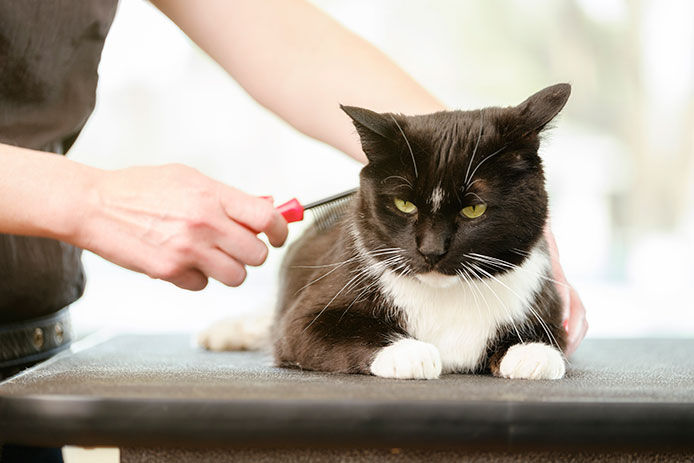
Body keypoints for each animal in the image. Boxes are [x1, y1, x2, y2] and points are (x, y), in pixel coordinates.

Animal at [200, 83, 572, 380]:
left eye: (473, 210)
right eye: (404, 204)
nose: (431, 250)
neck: (445, 295)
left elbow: (552, 335)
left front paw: (532, 353)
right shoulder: (304, 317)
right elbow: (316, 330)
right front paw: (409, 352)